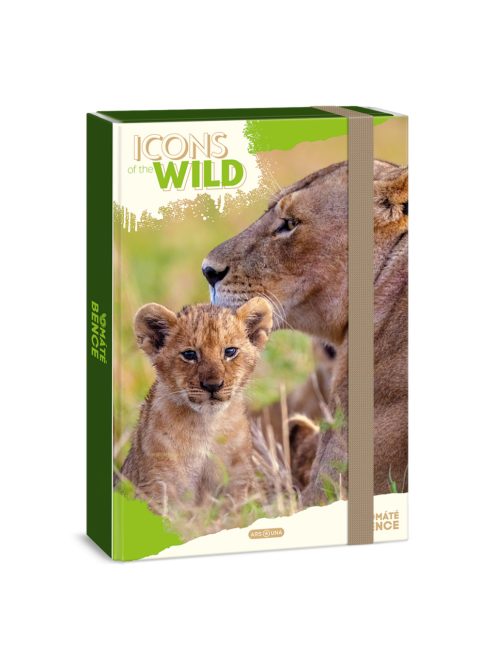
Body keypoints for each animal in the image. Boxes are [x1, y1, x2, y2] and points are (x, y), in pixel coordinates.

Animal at [118, 298, 273, 514]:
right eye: (189, 354)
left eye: (230, 351)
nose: (213, 385)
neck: (206, 426)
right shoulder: (158, 487)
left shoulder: (238, 483)